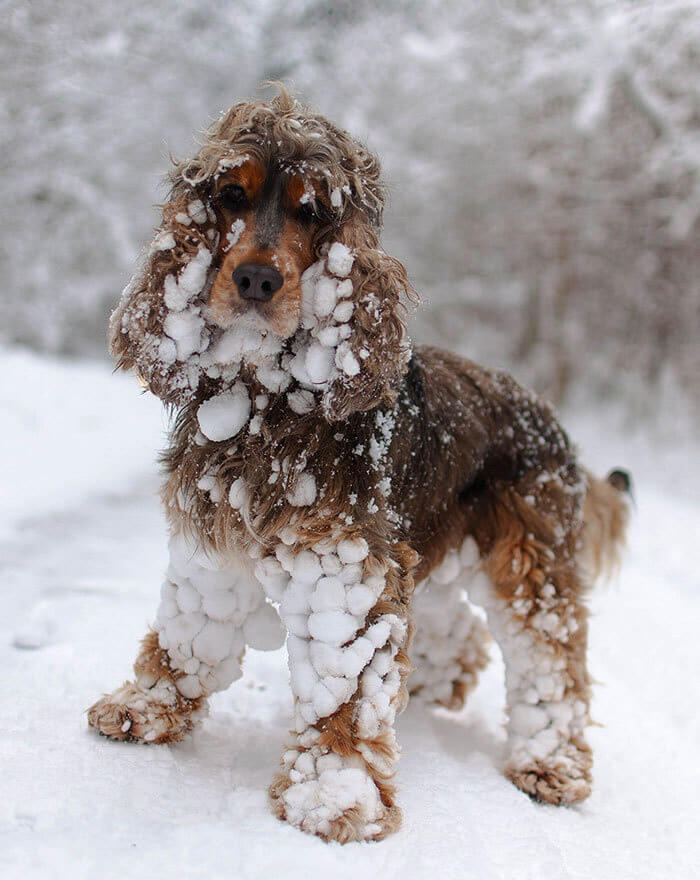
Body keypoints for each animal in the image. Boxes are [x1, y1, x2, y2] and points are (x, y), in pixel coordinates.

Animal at [87, 86, 628, 844]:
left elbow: (343, 688)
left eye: (313, 210)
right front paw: (147, 705)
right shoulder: (212, 540)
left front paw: (332, 797)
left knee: (552, 661)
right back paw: (433, 685)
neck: (267, 400)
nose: (256, 278)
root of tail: (552, 422)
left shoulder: (345, 566)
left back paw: (551, 765)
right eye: (230, 194)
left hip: (530, 559)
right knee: (459, 627)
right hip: (429, 540)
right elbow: (189, 631)